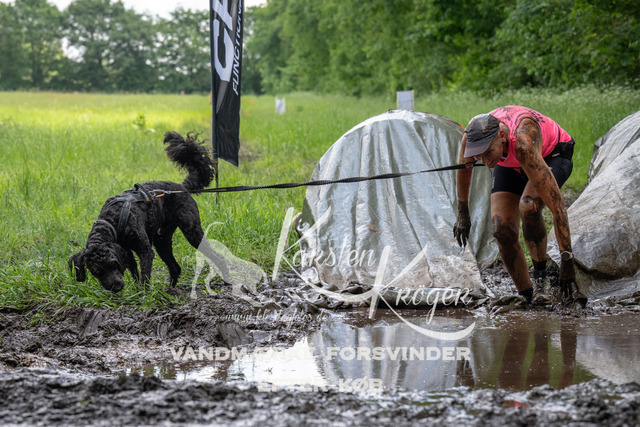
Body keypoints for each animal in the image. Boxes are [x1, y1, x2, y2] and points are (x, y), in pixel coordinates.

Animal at [69, 131, 229, 292]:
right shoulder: (126, 252)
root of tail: (182, 187)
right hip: (161, 240)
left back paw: (226, 279)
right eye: (97, 271)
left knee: (217, 256)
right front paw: (136, 291)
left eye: (114, 264)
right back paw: (169, 290)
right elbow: (134, 272)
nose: (117, 286)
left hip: (192, 231)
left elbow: (144, 275)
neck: (113, 219)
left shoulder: (145, 250)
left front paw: (143, 293)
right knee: (175, 267)